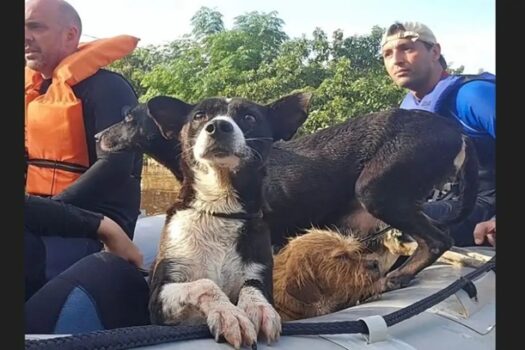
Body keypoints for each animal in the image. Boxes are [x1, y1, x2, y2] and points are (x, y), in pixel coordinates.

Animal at [96, 92, 476, 292]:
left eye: (128, 119)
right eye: (199, 116)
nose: (99, 136)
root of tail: (456, 133)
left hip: (377, 190)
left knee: (438, 240)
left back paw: (400, 276)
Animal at [141, 94, 310, 348]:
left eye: (249, 117)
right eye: (199, 116)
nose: (218, 126)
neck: (219, 209)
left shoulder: (259, 272)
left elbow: (252, 286)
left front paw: (258, 308)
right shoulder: (159, 296)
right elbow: (204, 284)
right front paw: (228, 313)